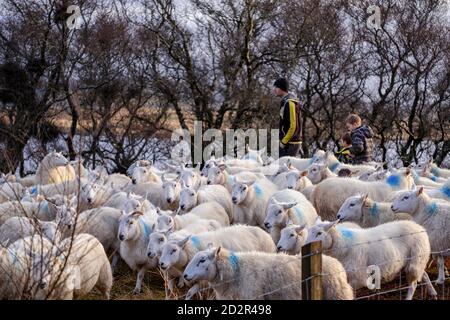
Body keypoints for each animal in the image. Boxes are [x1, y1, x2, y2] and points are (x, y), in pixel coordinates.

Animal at [304, 219, 434, 298]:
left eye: (319, 233)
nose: (304, 245)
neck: (343, 245)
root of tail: (419, 226)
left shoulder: (357, 277)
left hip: (415, 260)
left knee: (413, 284)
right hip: (417, 260)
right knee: (423, 274)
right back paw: (433, 292)